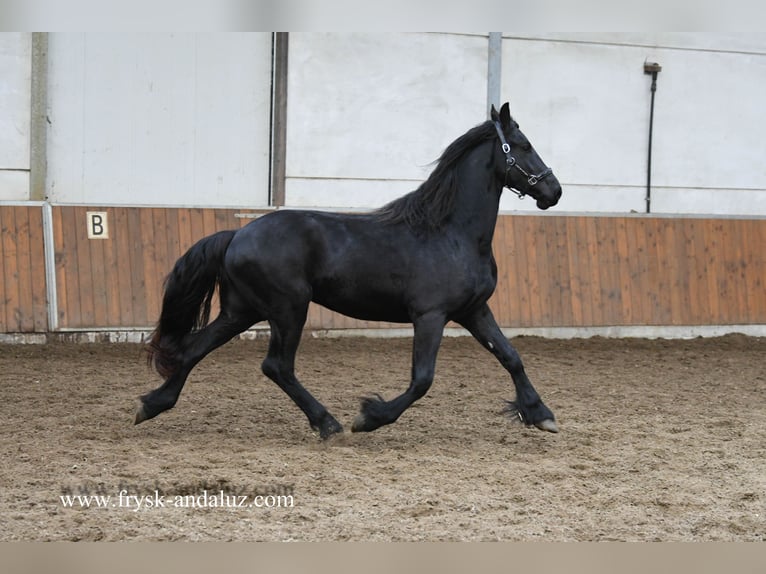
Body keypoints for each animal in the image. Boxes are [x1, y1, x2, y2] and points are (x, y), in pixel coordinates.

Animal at [137, 102, 562, 439]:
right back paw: (328, 424)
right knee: (276, 366)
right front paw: (370, 417)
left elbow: (511, 356)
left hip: (242, 310)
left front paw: (541, 415)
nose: (554, 191)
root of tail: (238, 233)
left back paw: (152, 405)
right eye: (524, 146)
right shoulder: (430, 315)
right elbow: (422, 380)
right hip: (287, 309)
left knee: (196, 348)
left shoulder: (473, 310)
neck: (451, 232)